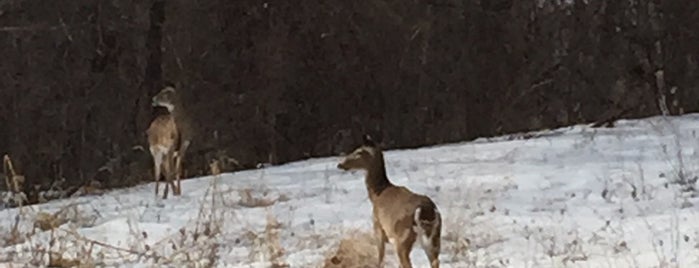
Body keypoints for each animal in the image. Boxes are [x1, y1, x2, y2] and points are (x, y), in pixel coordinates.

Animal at [336, 135, 440, 268]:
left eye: (359, 151)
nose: (340, 164)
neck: (377, 194)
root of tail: (426, 210)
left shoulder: (378, 227)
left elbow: (380, 258)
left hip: (403, 238)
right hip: (435, 239)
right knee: (435, 262)